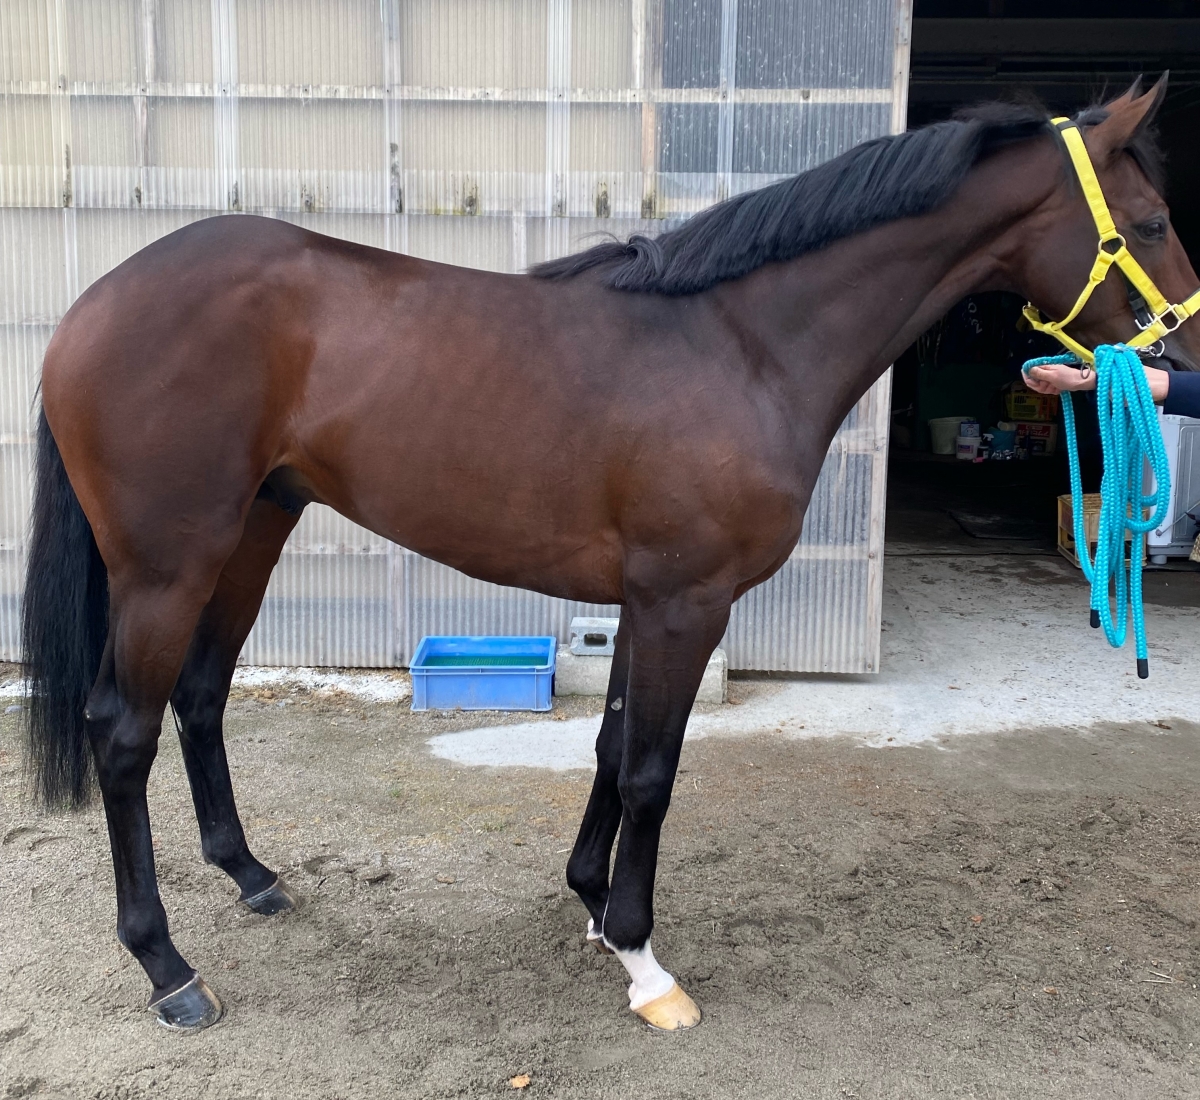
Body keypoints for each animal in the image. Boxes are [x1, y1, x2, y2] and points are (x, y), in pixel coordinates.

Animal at [23, 76, 1200, 1032]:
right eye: (1150, 219)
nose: (1187, 352)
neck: (743, 344)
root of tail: (92, 307)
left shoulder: (643, 597)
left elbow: (607, 743)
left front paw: (591, 900)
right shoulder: (688, 599)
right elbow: (651, 767)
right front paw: (642, 957)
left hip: (252, 534)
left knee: (202, 698)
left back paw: (253, 876)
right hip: (168, 565)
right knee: (120, 732)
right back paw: (168, 967)